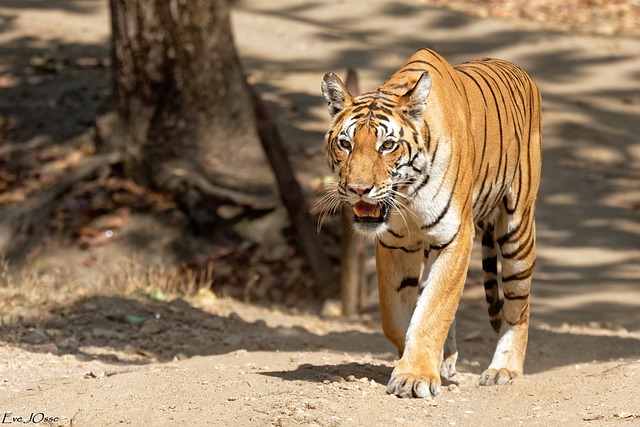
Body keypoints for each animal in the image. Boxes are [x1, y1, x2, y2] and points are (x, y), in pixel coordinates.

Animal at [318, 48, 544, 400]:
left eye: (387, 145)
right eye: (345, 144)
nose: (357, 189)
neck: (408, 194)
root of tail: (517, 68)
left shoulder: (455, 238)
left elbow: (432, 310)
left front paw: (414, 377)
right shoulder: (395, 244)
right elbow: (397, 318)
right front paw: (423, 363)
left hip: (517, 233)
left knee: (519, 307)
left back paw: (503, 370)